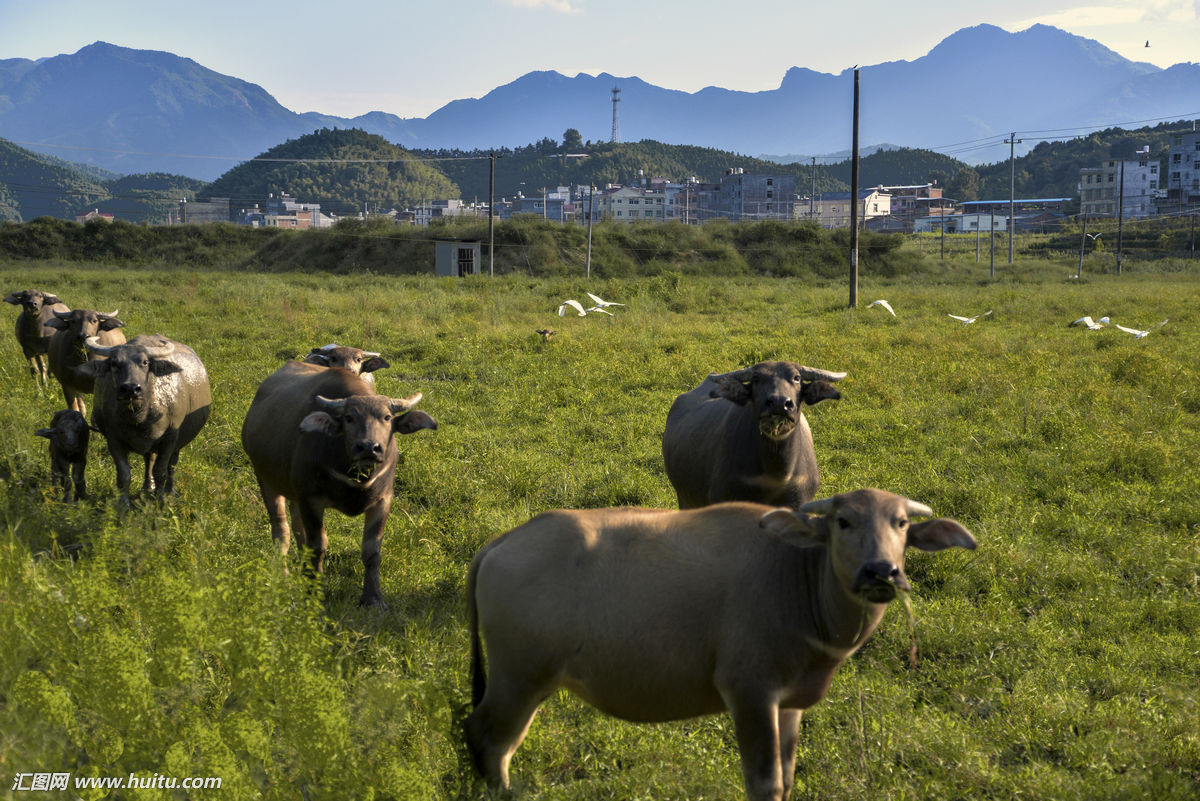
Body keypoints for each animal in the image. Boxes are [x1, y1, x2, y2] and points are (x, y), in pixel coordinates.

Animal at [78, 335, 212, 503]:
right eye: (114, 363)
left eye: (145, 362)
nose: (131, 389)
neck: (138, 417)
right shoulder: (113, 439)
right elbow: (124, 474)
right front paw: (123, 504)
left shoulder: (170, 438)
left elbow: (161, 471)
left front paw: (160, 500)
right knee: (149, 460)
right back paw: (147, 487)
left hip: (179, 441)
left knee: (171, 465)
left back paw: (170, 491)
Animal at [238, 359, 436, 604]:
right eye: (349, 418)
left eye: (387, 417)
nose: (368, 447)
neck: (355, 475)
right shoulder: (311, 500)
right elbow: (318, 546)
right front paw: (314, 593)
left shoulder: (383, 499)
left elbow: (372, 550)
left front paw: (373, 598)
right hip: (265, 477)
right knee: (281, 530)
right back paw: (283, 576)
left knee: (296, 525)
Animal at [463, 489, 979, 801]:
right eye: (843, 521)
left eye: (901, 524)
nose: (881, 572)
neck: (796, 578)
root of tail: (502, 542)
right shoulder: (749, 693)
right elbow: (764, 783)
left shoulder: (789, 704)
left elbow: (786, 780)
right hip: (518, 679)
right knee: (490, 738)